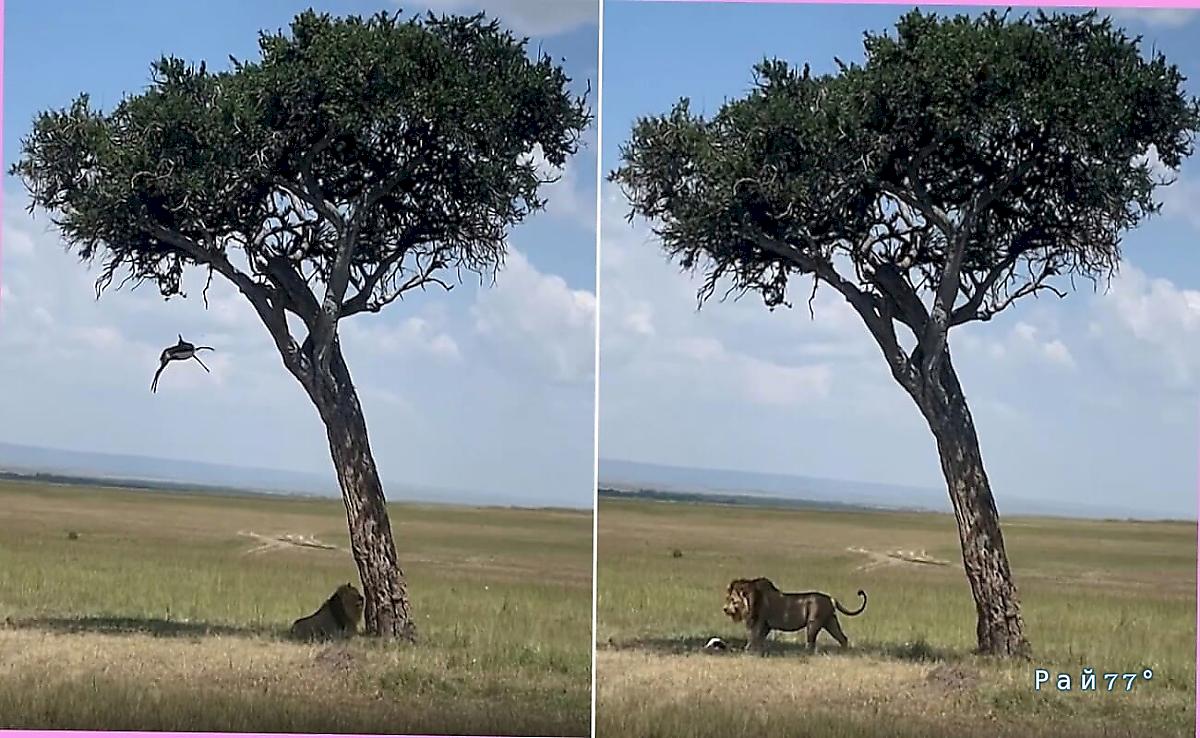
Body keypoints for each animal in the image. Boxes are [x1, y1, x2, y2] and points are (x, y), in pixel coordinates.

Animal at [720, 578, 864, 652]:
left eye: (732, 600)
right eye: (727, 599)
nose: (725, 609)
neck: (751, 600)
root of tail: (830, 598)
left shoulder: (759, 621)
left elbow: (753, 636)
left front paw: (749, 650)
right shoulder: (766, 625)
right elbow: (759, 638)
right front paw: (756, 650)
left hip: (813, 623)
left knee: (811, 642)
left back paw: (805, 653)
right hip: (830, 621)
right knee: (843, 638)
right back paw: (844, 652)